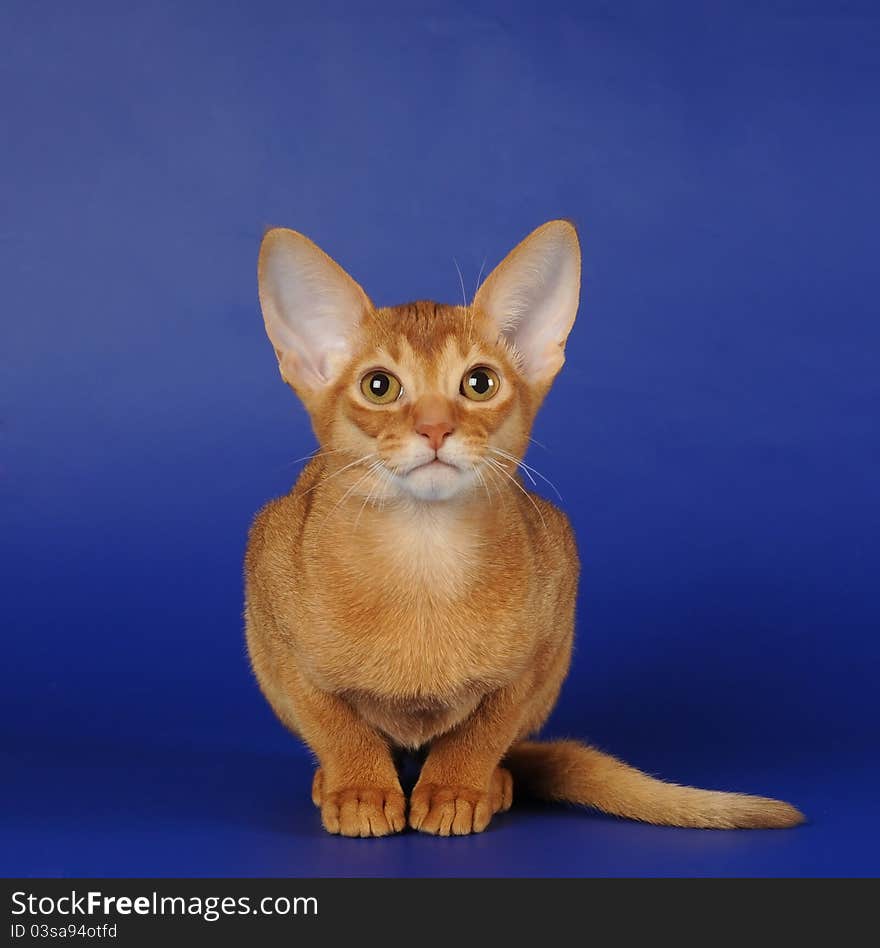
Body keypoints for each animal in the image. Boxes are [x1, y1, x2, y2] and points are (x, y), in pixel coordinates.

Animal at [242, 222, 804, 836]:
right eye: (379, 387)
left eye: (479, 383)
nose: (435, 428)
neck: (424, 558)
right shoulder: (275, 621)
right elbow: (332, 722)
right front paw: (360, 788)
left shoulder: (546, 633)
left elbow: (487, 728)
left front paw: (456, 788)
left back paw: (493, 783)